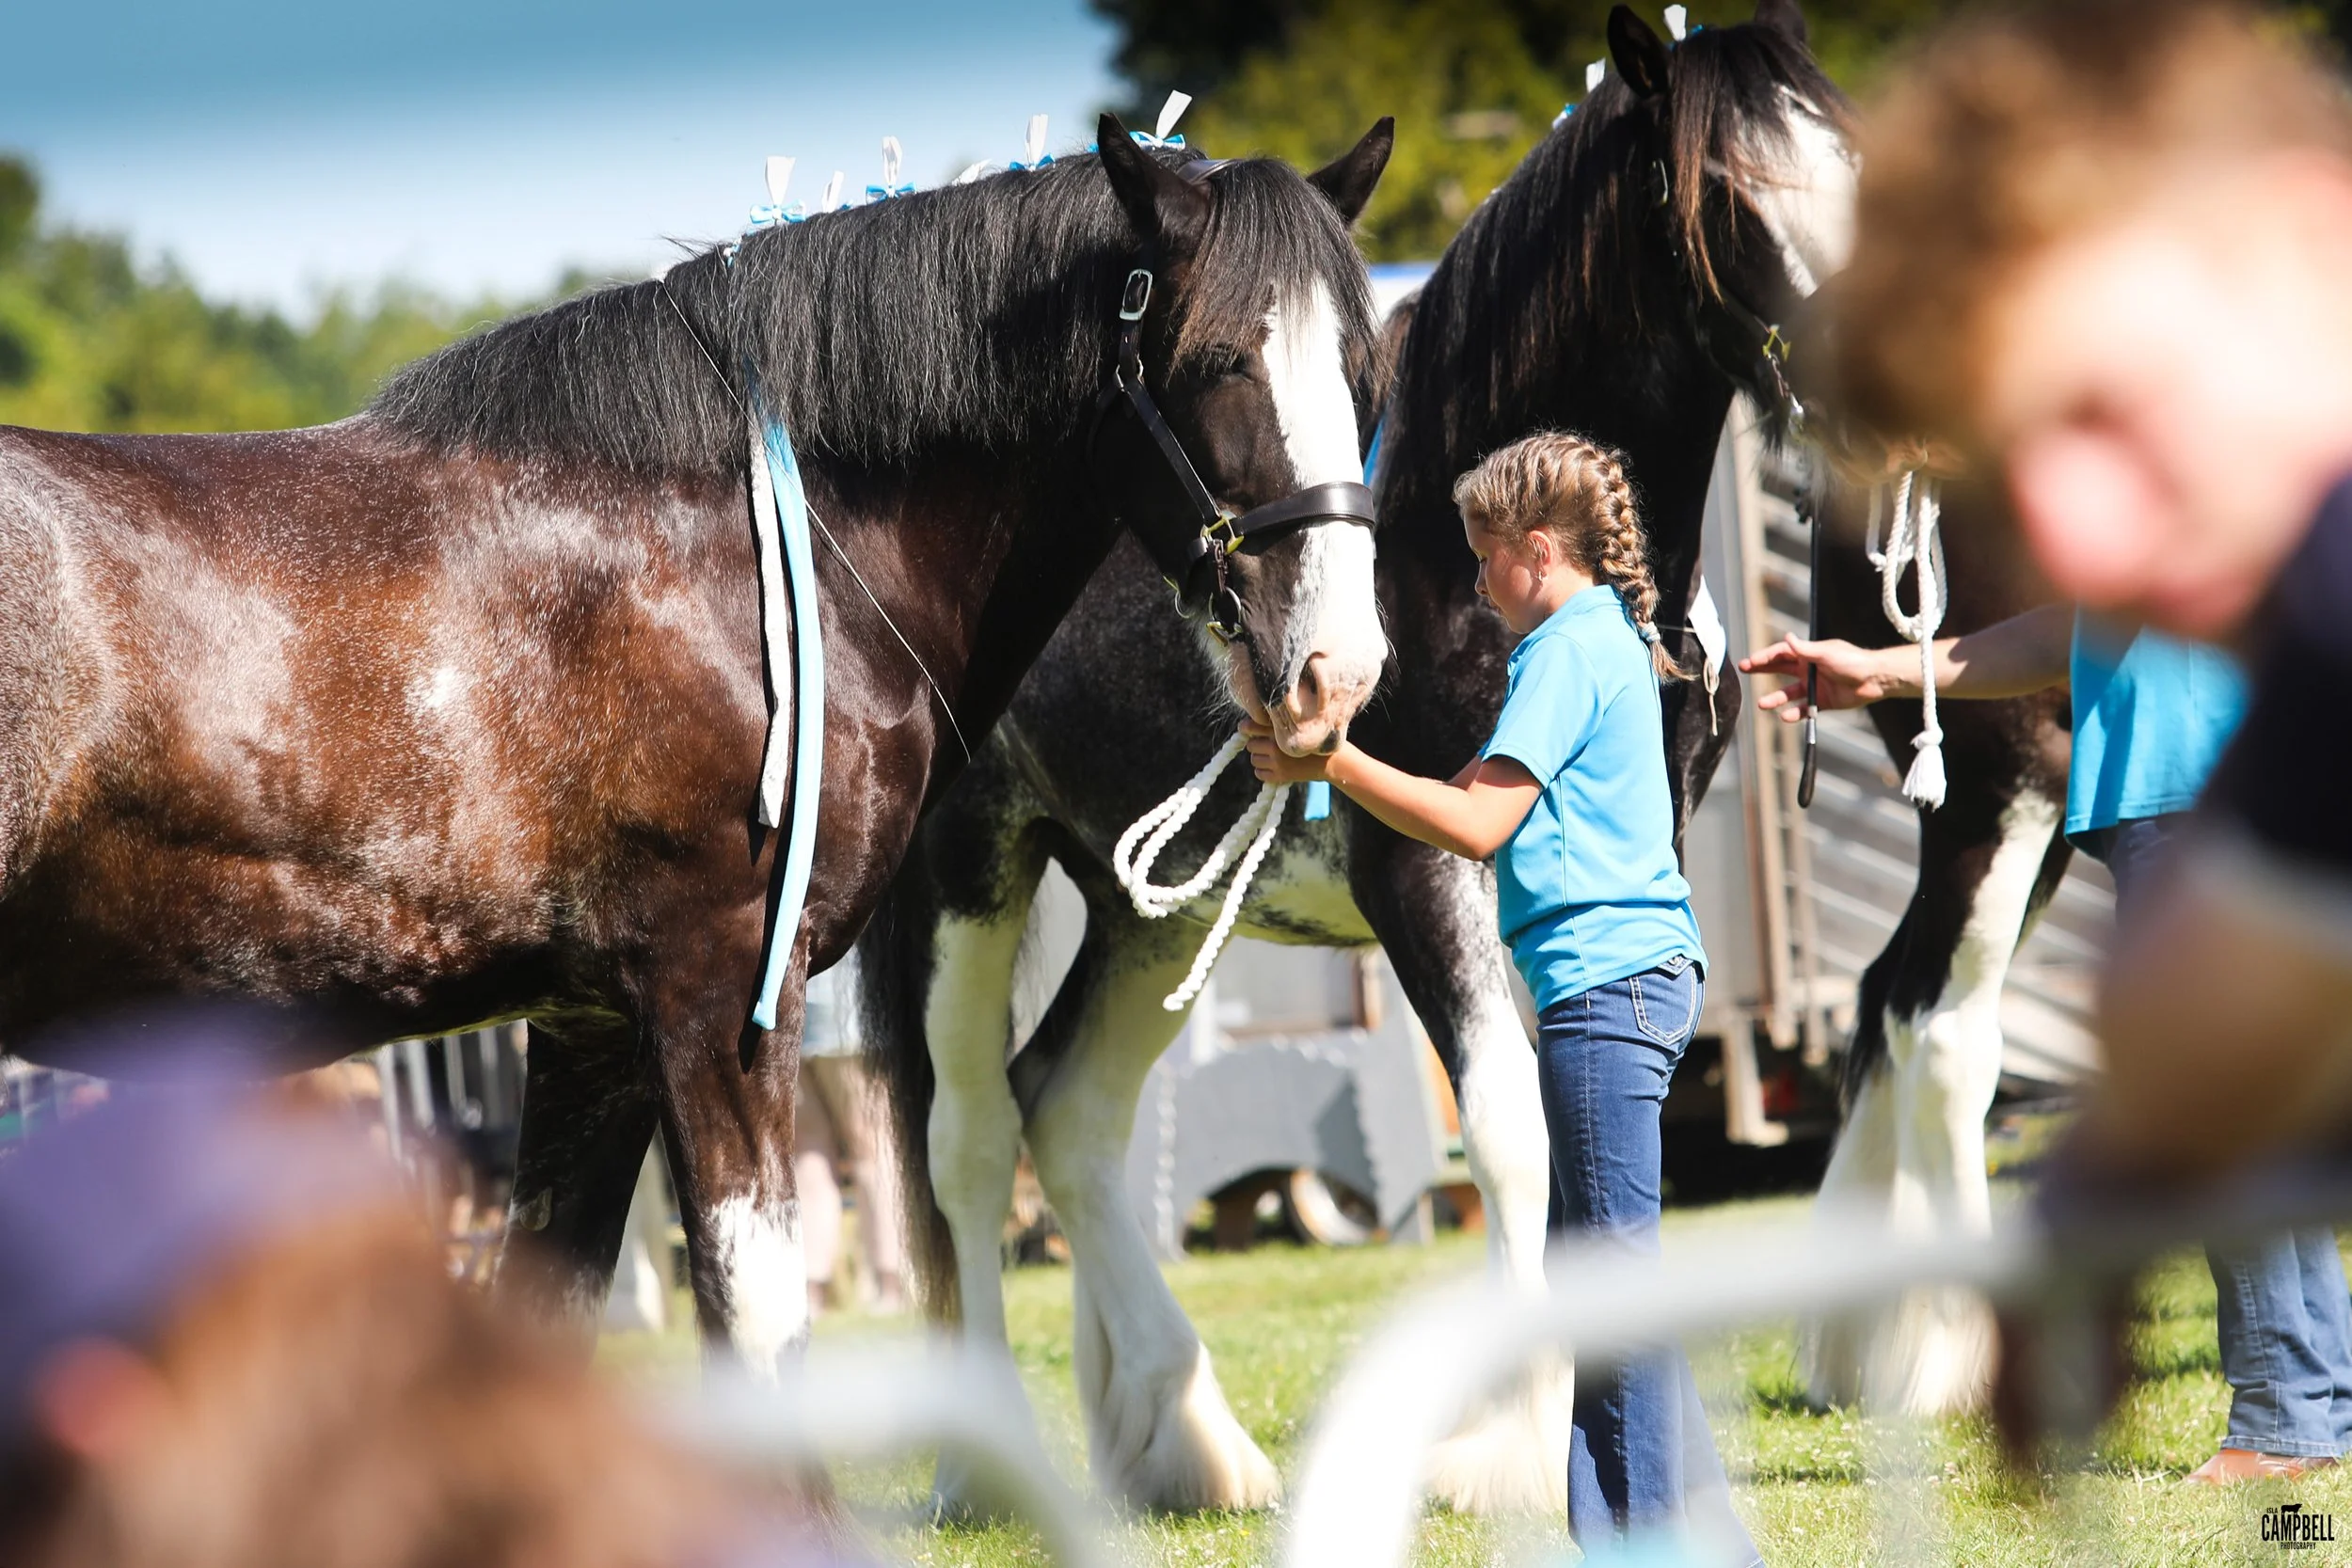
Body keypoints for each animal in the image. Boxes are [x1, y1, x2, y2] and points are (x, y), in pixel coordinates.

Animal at [0, 113, 1398, 1379]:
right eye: (1215, 360)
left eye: (1364, 371)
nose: (1335, 670)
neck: (728, 551)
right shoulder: (715, 999)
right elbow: (762, 1336)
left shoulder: (587, 1030)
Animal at [859, 1, 1859, 1513]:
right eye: (1728, 191)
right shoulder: (1424, 874)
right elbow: (1509, 1129)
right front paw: (1518, 1449)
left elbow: (1589, 1117)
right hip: (966, 876)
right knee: (970, 1141)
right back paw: (989, 1478)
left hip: (1158, 906)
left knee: (1070, 1112)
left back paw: (1191, 1442)